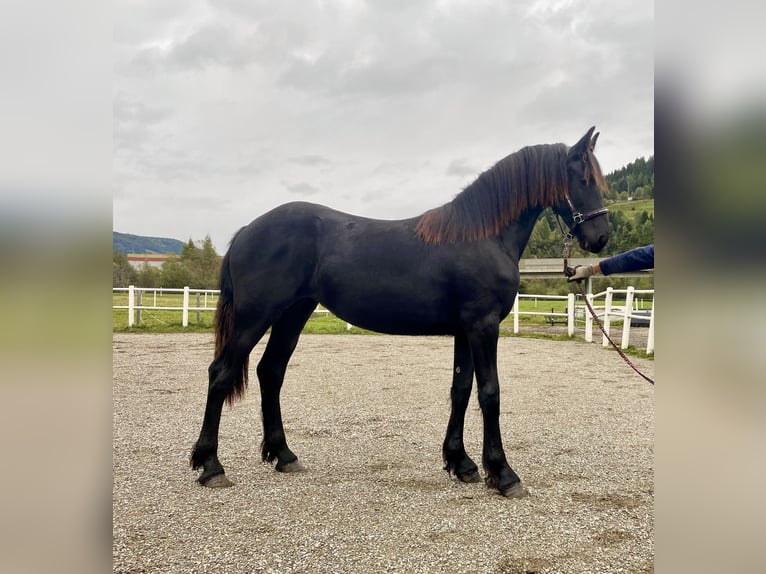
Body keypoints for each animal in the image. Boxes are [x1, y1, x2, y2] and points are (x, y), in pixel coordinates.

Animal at [191, 126, 610, 498]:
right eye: (583, 178)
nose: (601, 238)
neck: (482, 236)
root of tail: (248, 229)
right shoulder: (483, 326)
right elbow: (490, 393)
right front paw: (503, 474)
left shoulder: (465, 330)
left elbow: (460, 390)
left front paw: (461, 463)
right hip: (254, 316)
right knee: (221, 373)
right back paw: (211, 466)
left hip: (294, 313)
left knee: (271, 372)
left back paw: (283, 455)